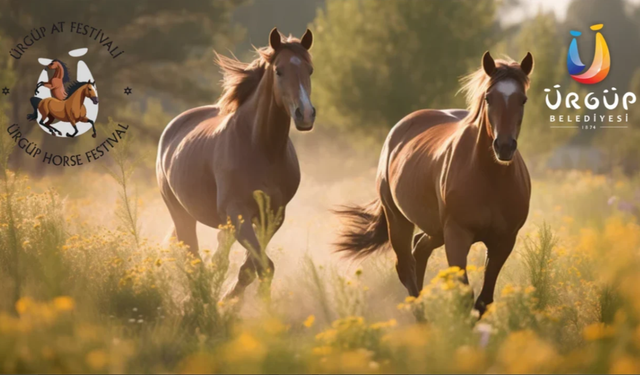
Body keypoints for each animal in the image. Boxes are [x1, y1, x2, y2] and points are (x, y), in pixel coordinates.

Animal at [156, 27, 316, 302]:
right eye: (279, 71)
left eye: (310, 70)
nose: (305, 114)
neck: (262, 148)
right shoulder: (238, 213)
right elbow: (263, 266)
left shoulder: (272, 216)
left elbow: (251, 268)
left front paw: (230, 300)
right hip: (180, 213)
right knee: (193, 256)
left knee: (217, 257)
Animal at [338, 51, 532, 316]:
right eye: (489, 98)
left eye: (522, 100)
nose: (503, 147)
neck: (490, 179)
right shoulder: (457, 236)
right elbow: (464, 294)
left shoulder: (504, 241)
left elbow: (484, 299)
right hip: (398, 219)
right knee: (406, 266)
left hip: (435, 229)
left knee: (420, 249)